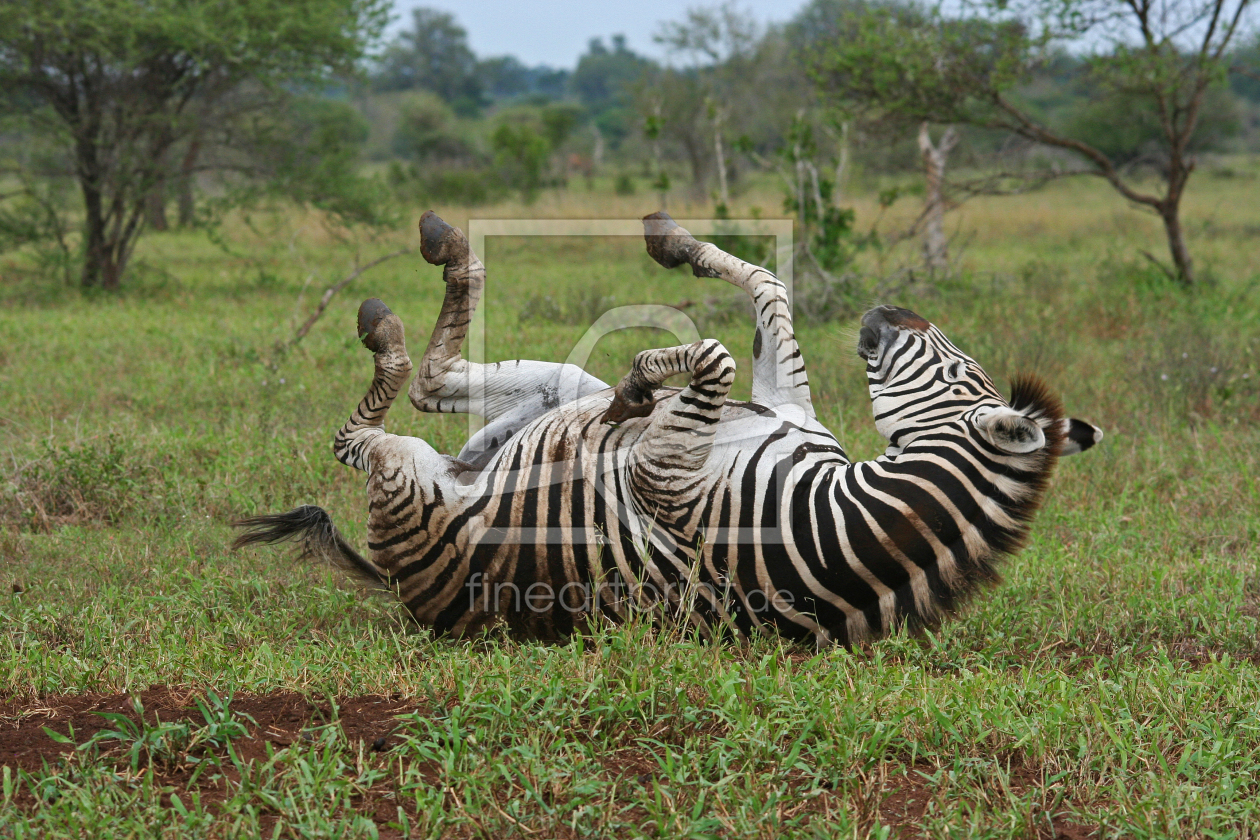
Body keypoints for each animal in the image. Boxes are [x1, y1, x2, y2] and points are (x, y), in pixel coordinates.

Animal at [236, 214, 1103, 649]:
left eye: (959, 369)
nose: (892, 310)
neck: (830, 517)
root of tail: (400, 585)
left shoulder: (664, 481)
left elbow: (715, 355)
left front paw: (643, 378)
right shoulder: (786, 407)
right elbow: (769, 289)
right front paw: (675, 243)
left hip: (409, 476)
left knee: (370, 425)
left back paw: (390, 327)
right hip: (546, 400)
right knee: (439, 383)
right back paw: (442, 252)